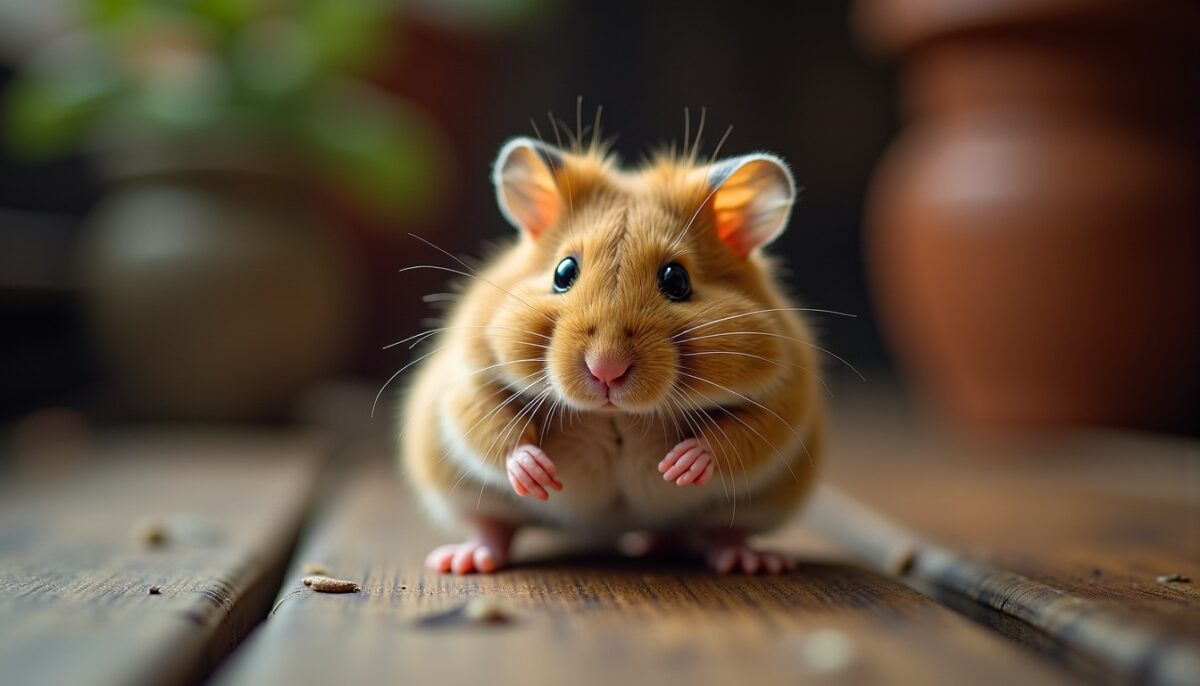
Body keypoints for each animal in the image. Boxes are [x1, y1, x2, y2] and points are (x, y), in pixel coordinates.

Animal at [400, 130, 826, 575]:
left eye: (677, 280)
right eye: (563, 272)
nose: (606, 370)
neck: (616, 415)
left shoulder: (786, 394)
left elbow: (741, 435)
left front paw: (680, 466)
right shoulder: (468, 373)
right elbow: (493, 426)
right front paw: (537, 473)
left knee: (726, 529)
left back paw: (744, 560)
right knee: (490, 522)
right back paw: (464, 560)